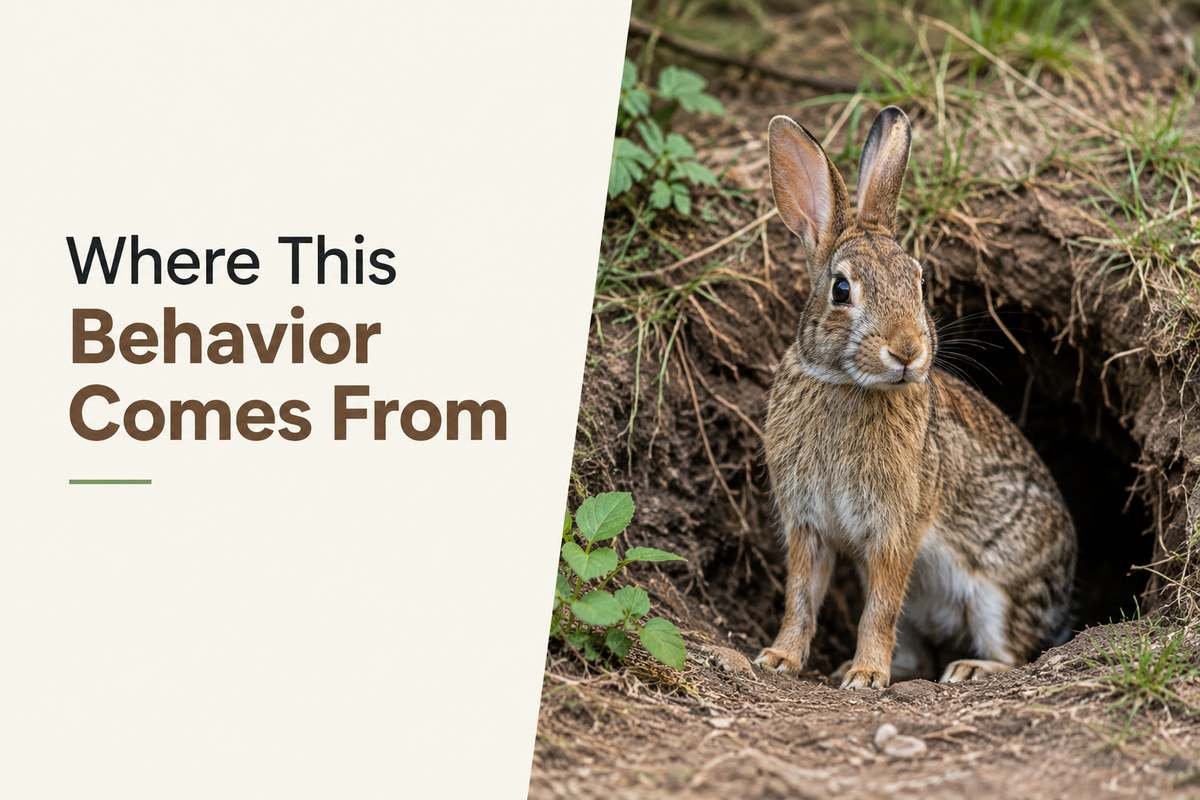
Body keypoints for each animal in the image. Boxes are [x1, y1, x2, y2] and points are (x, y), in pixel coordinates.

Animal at [752, 106, 1077, 688]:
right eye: (841, 289)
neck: (848, 385)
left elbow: (880, 607)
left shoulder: (894, 528)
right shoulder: (807, 524)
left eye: (920, 283)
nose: (906, 351)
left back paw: (969, 668)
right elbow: (801, 597)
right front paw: (780, 659)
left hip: (999, 591)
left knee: (1016, 652)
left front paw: (866, 676)